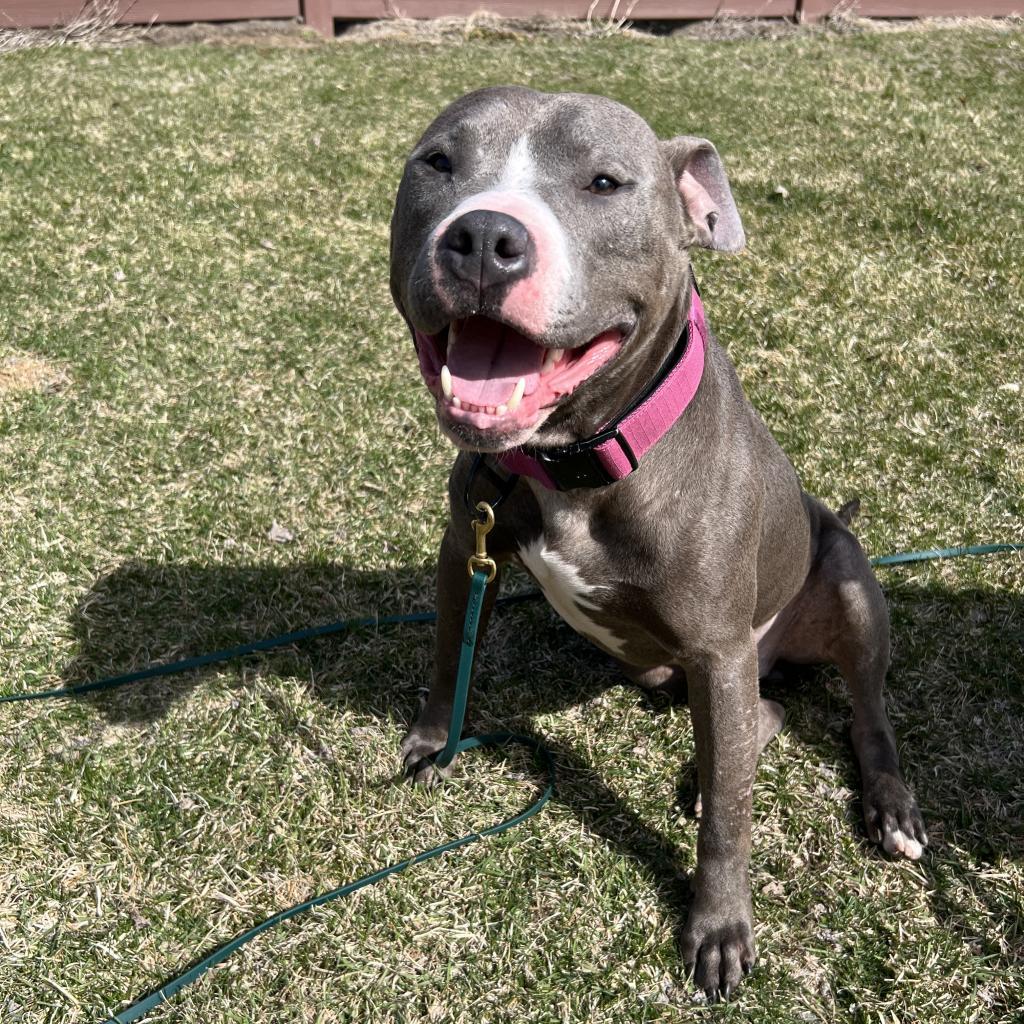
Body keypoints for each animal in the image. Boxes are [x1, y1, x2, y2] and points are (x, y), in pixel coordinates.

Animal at [385, 88, 929, 999]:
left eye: (605, 182)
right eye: (437, 163)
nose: (485, 237)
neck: (575, 458)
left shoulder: (717, 647)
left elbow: (731, 828)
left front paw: (719, 926)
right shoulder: (468, 547)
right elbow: (443, 655)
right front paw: (433, 742)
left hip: (845, 589)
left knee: (862, 717)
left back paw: (887, 804)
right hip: (674, 667)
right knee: (760, 717)